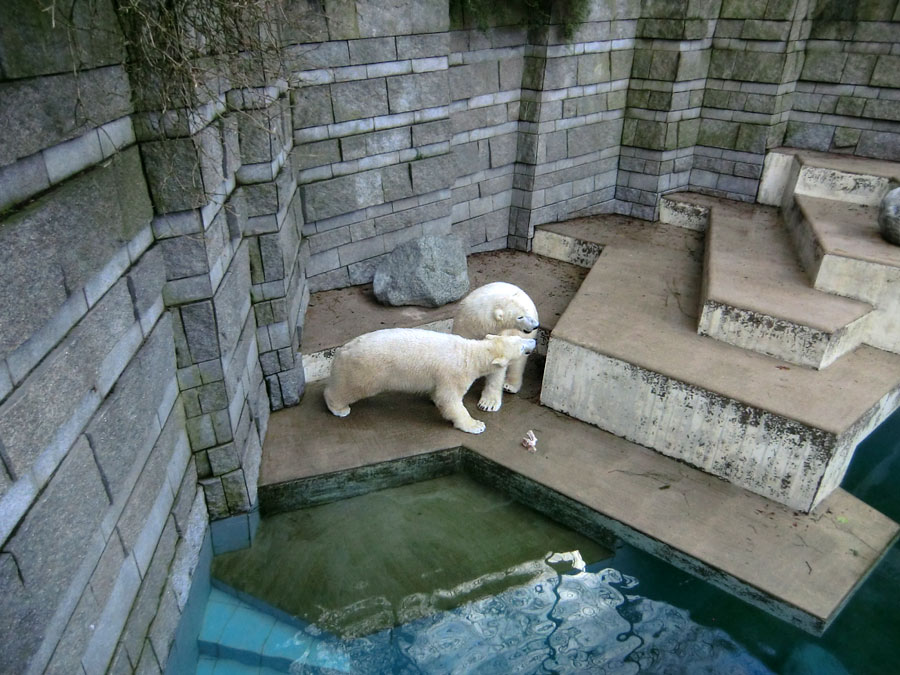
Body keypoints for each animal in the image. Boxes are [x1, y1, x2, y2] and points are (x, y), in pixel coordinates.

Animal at [324, 330, 536, 436]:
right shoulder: (455, 373)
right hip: (366, 369)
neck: (472, 353)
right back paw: (339, 408)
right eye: (521, 345)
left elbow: (437, 393)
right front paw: (476, 425)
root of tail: (343, 349)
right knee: (351, 388)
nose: (533, 343)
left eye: (519, 338)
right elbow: (449, 400)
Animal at [454, 280, 536, 412]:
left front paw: (487, 404)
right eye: (520, 317)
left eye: (526, 311)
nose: (535, 325)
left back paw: (510, 385)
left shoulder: (500, 334)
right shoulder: (464, 327)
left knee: (518, 362)